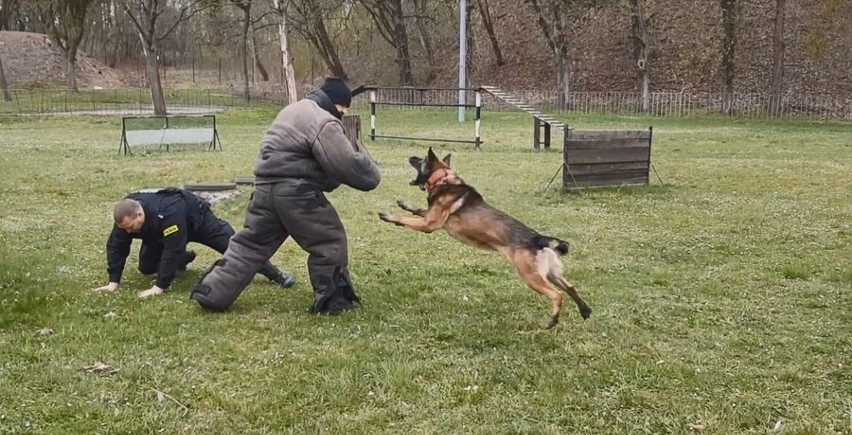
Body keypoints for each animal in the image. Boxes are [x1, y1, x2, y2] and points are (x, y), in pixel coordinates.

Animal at [380, 148, 592, 328]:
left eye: (421, 159)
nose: (410, 156)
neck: (443, 179)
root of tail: (539, 239)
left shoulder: (429, 224)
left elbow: (406, 219)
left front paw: (388, 216)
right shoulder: (429, 216)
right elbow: (417, 210)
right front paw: (405, 204)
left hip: (531, 276)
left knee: (557, 295)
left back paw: (553, 320)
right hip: (551, 273)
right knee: (571, 287)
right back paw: (585, 310)